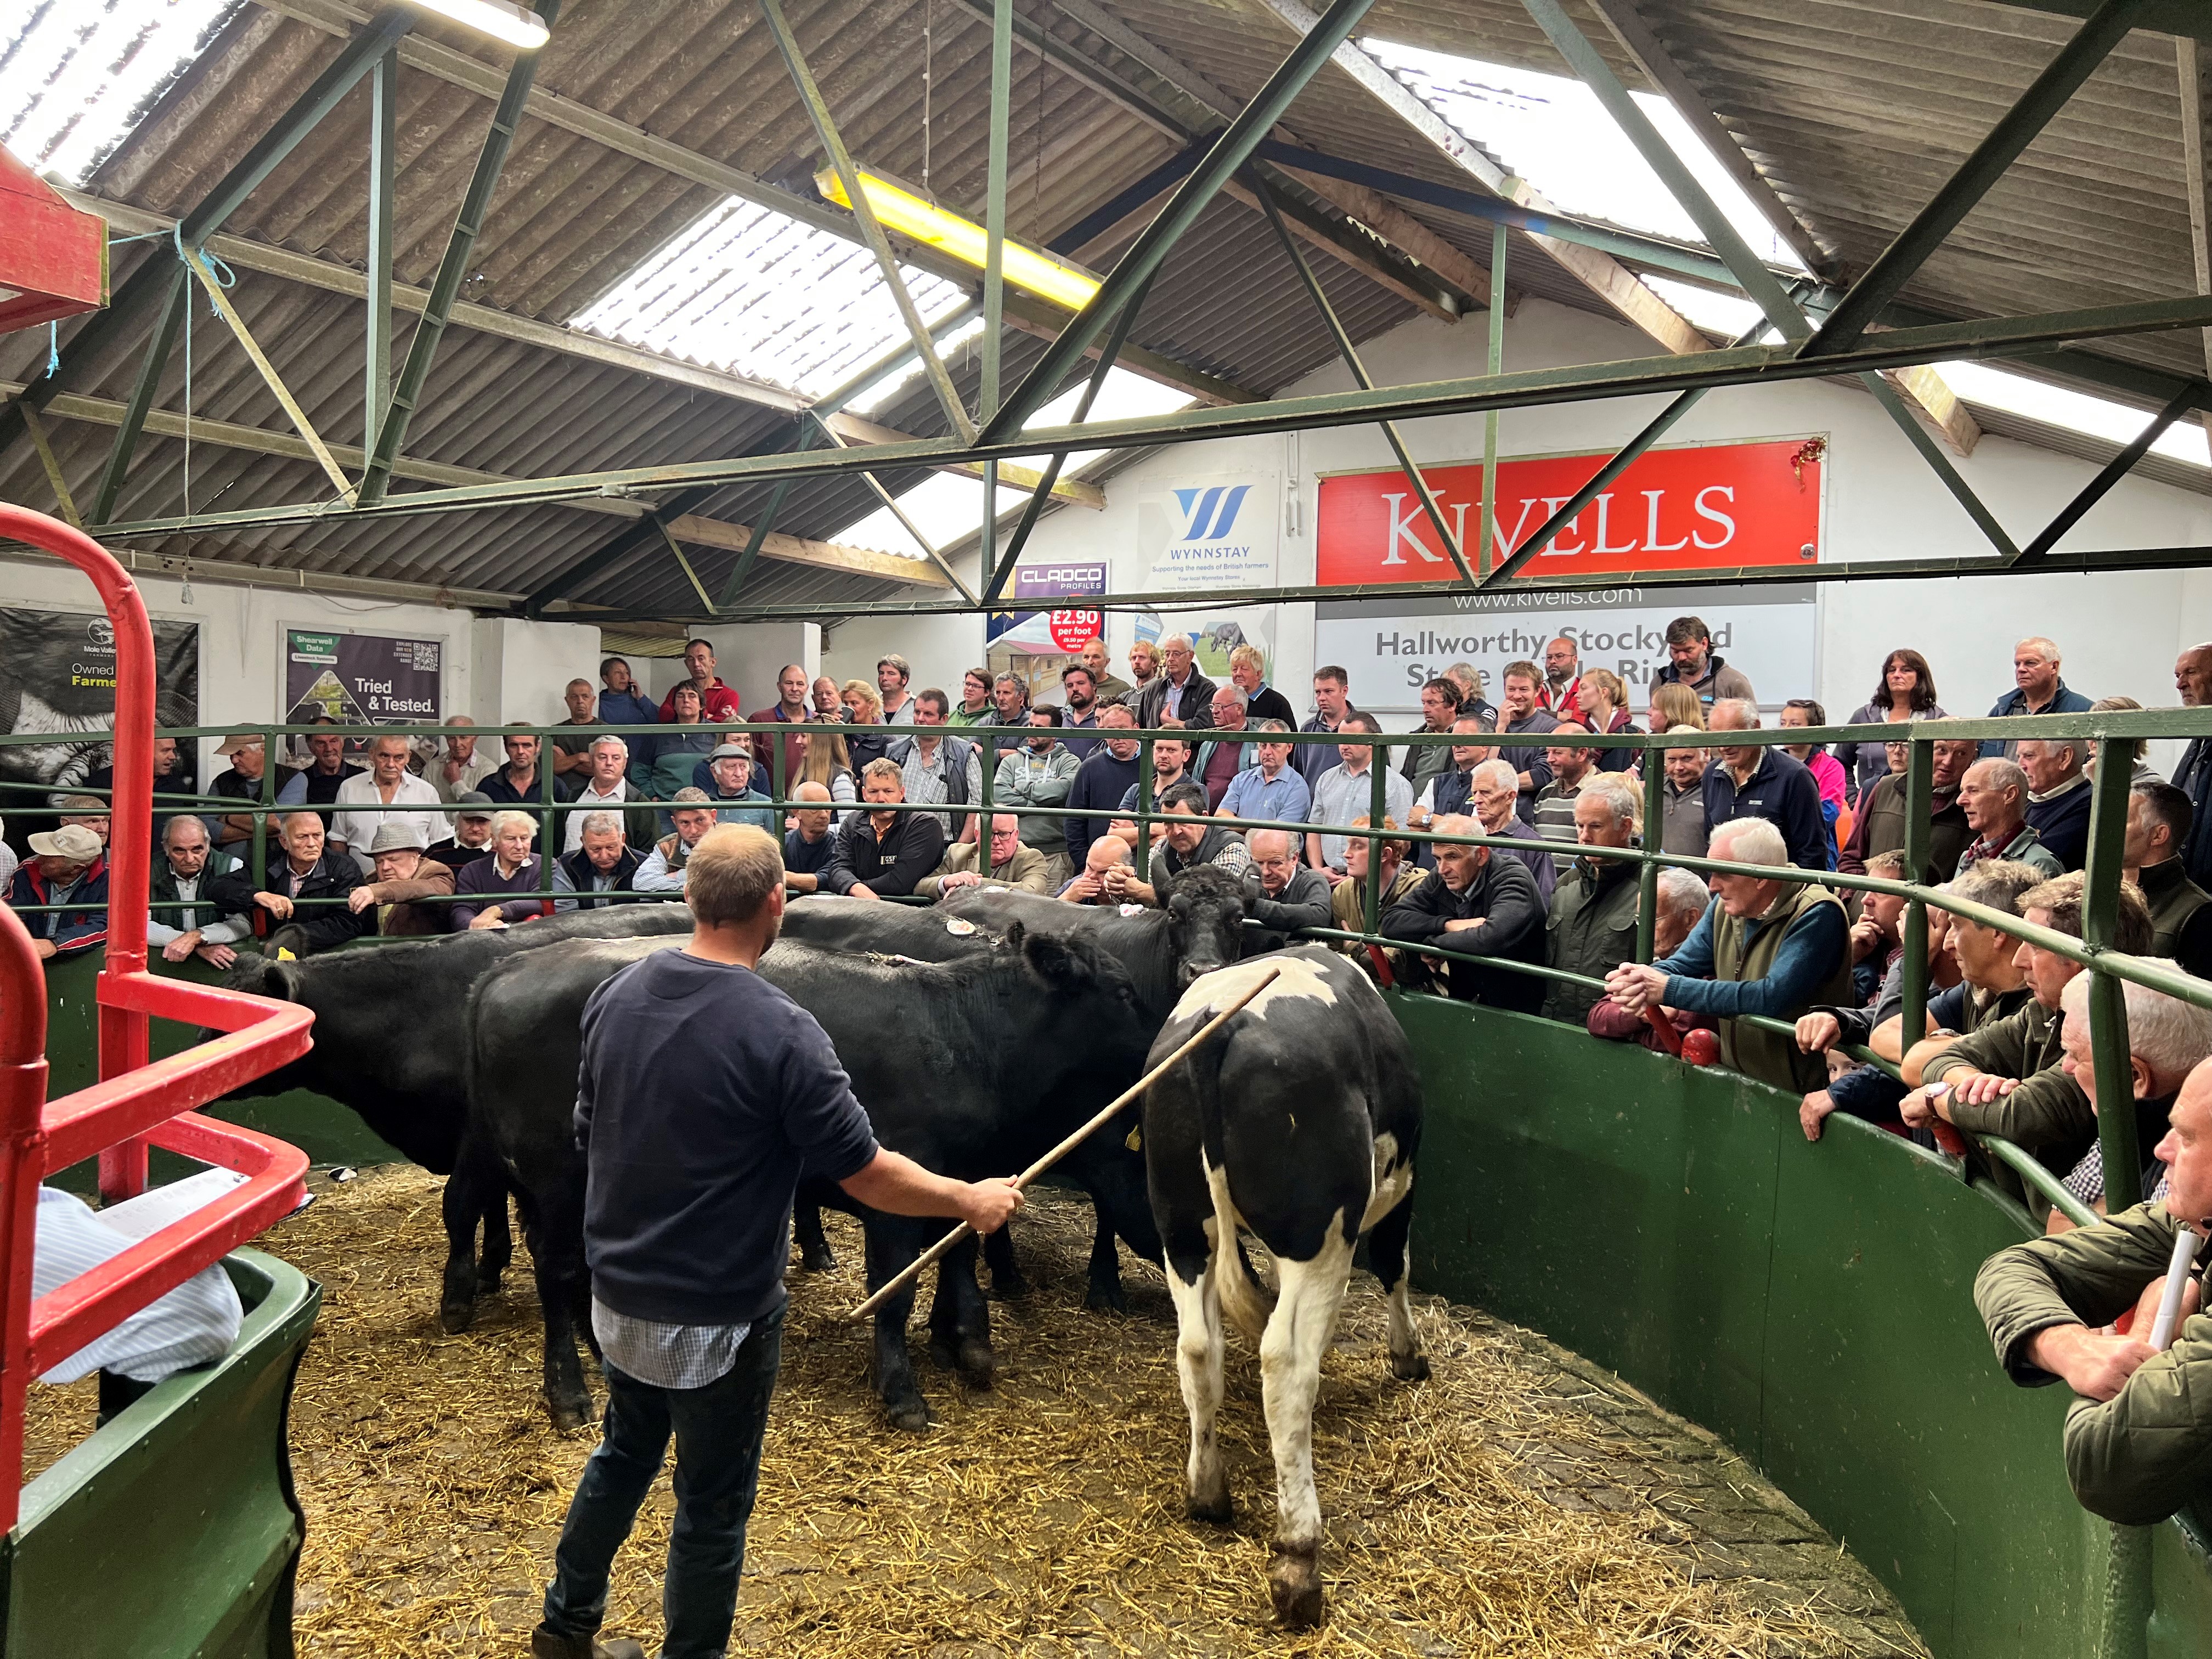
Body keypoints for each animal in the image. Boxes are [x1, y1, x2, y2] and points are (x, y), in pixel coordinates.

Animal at [471, 929, 1159, 1433]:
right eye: (1125, 993)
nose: (1159, 1043)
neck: (963, 1033)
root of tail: (510, 967)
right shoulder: (894, 1195)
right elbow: (894, 1290)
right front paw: (903, 1392)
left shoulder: (961, 1178)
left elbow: (958, 1257)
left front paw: (965, 1343)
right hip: (557, 1179)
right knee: (558, 1271)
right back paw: (568, 1392)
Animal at [1141, 946, 1433, 1637]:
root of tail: (1219, 1023)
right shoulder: (1400, 1189)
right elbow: (1397, 1264)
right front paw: (1408, 1356)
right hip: (1317, 1234)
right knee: (1286, 1364)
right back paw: (1299, 1555)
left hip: (1181, 1228)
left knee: (1198, 1350)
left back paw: (1208, 1492)